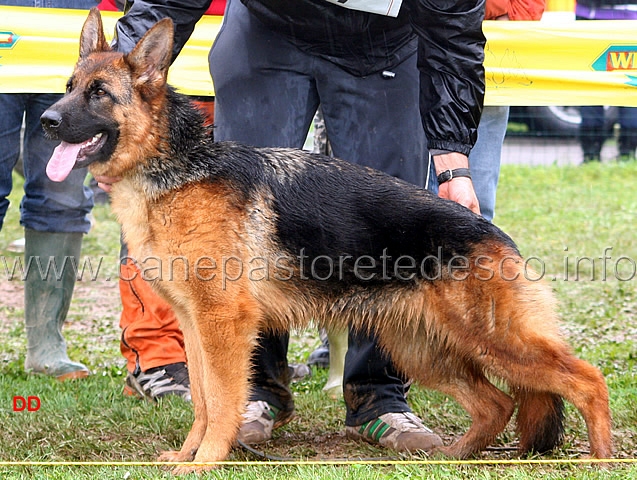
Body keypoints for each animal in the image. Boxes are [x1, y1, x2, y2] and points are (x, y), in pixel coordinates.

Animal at [41, 7, 612, 472]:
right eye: (68, 86)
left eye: (98, 94)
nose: (46, 120)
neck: (175, 169)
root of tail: (491, 230)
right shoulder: (196, 325)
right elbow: (202, 400)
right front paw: (187, 457)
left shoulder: (224, 325)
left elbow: (222, 402)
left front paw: (205, 461)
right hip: (426, 350)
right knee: (498, 404)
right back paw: (456, 456)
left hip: (495, 342)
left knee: (587, 380)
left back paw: (602, 458)